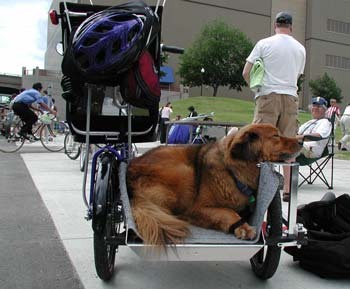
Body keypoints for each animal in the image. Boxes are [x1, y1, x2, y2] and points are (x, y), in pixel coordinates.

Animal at [127, 122, 302, 244]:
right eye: (276, 136)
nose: (302, 141)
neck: (233, 173)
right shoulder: (199, 207)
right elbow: (228, 212)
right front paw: (243, 227)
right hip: (185, 173)